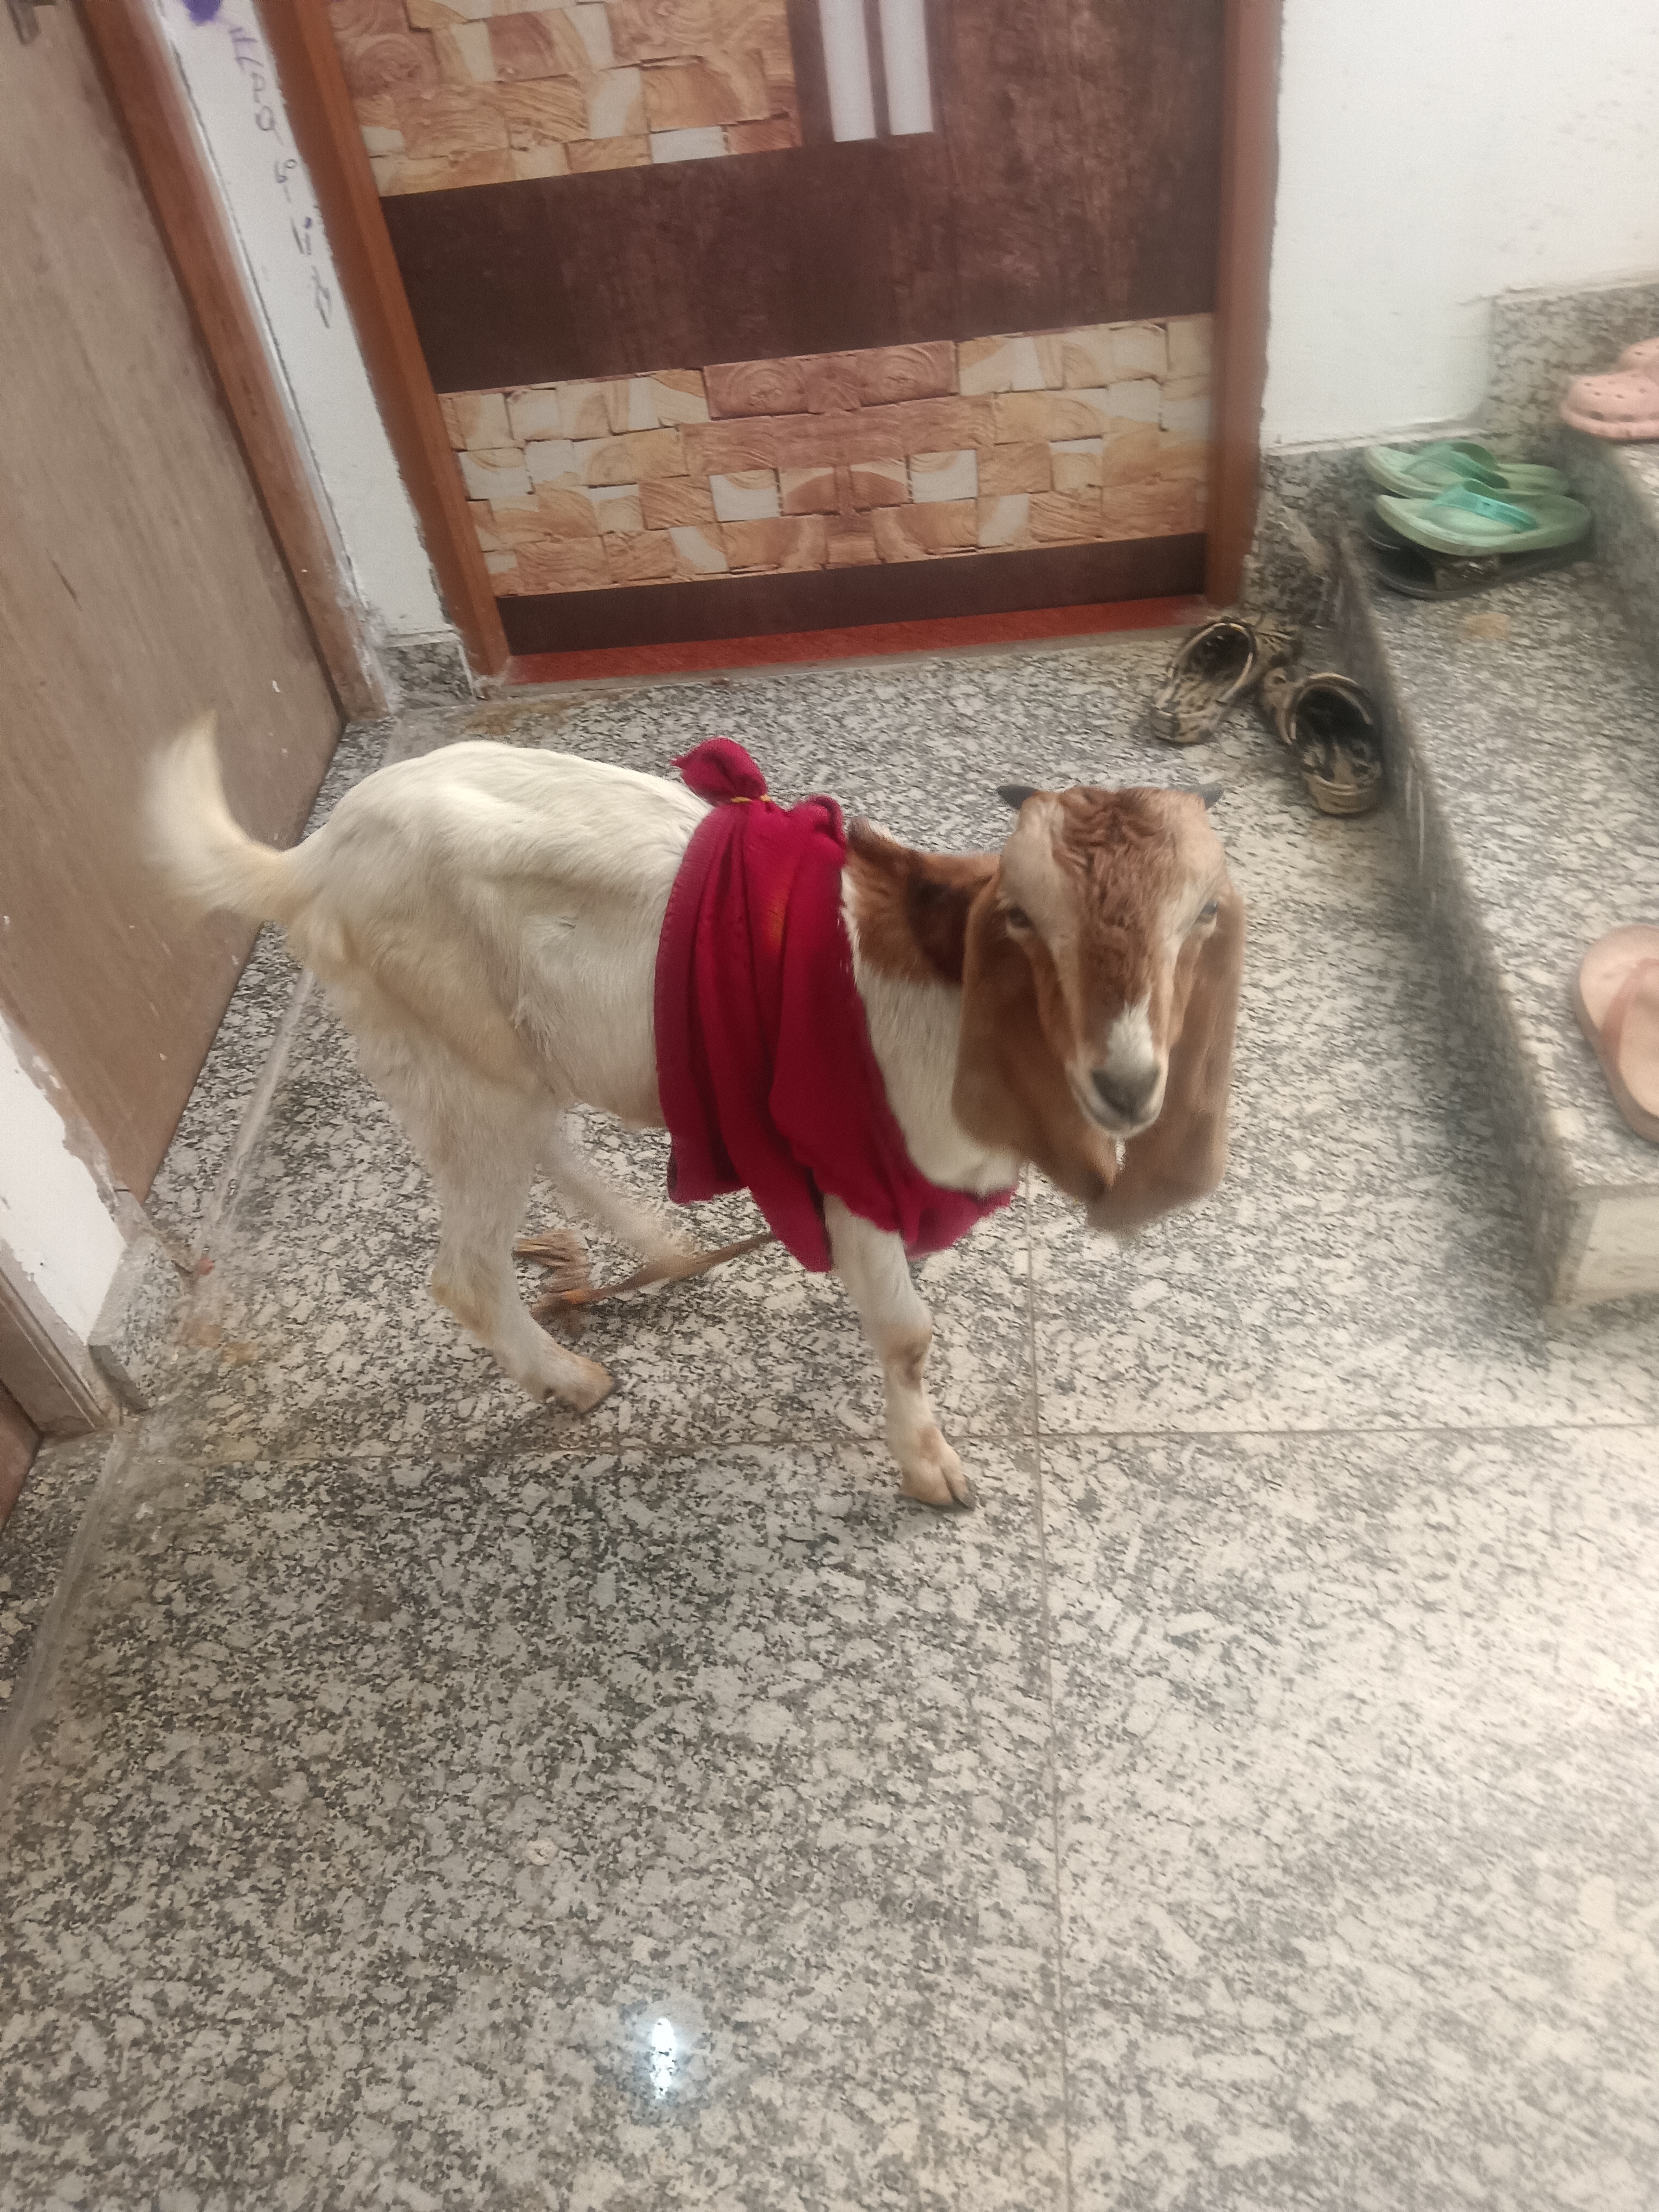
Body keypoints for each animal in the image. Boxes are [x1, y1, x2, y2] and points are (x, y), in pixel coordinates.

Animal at [149, 724, 1243, 1507]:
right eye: (1020, 919)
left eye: (1202, 914)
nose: (1128, 1085)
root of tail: (312, 858)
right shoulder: (845, 1155)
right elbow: (905, 1334)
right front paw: (930, 1468)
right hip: (456, 1060)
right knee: (467, 1266)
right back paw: (570, 1378)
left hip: (502, 1063)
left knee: (550, 1143)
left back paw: (660, 1248)